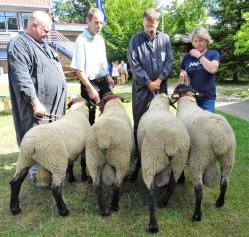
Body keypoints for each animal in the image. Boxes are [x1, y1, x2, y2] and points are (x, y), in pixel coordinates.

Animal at [137, 93, 190, 233]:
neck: (159, 106)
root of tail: (171, 141)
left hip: (150, 157)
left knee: (151, 191)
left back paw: (153, 224)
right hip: (179, 161)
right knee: (173, 185)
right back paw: (163, 202)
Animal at [172, 84, 236, 222]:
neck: (187, 102)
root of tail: (219, 137)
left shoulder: (184, 149)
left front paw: (181, 179)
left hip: (198, 157)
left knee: (199, 190)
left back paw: (197, 215)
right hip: (228, 157)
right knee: (224, 182)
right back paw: (219, 203)